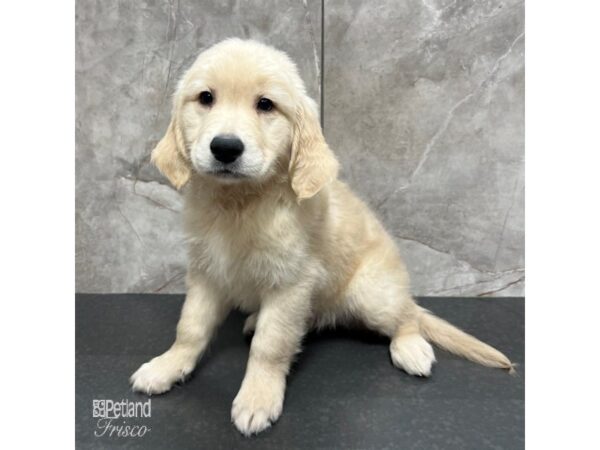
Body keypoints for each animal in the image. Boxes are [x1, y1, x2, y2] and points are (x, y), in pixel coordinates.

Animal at [130, 38, 510, 436]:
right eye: (205, 98)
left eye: (265, 104)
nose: (226, 148)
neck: (240, 203)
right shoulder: (206, 273)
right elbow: (190, 327)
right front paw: (167, 366)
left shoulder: (289, 283)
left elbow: (270, 345)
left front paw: (257, 398)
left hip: (372, 293)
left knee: (406, 316)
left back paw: (411, 348)